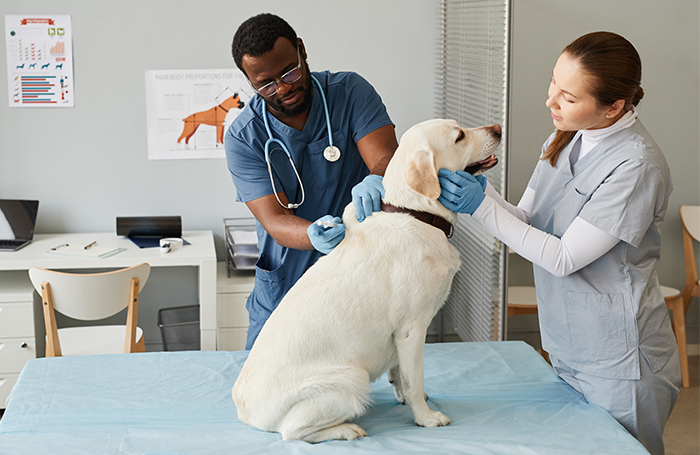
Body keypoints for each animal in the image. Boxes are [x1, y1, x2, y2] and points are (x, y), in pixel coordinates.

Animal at [232, 119, 500, 444]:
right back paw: (347, 429)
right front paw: (425, 417)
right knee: (293, 432)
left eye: (460, 127)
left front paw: (406, 398)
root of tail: (246, 412)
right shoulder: (412, 329)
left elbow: (400, 374)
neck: (416, 213)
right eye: (459, 136)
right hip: (353, 378)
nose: (498, 129)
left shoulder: (400, 337)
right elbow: (414, 378)